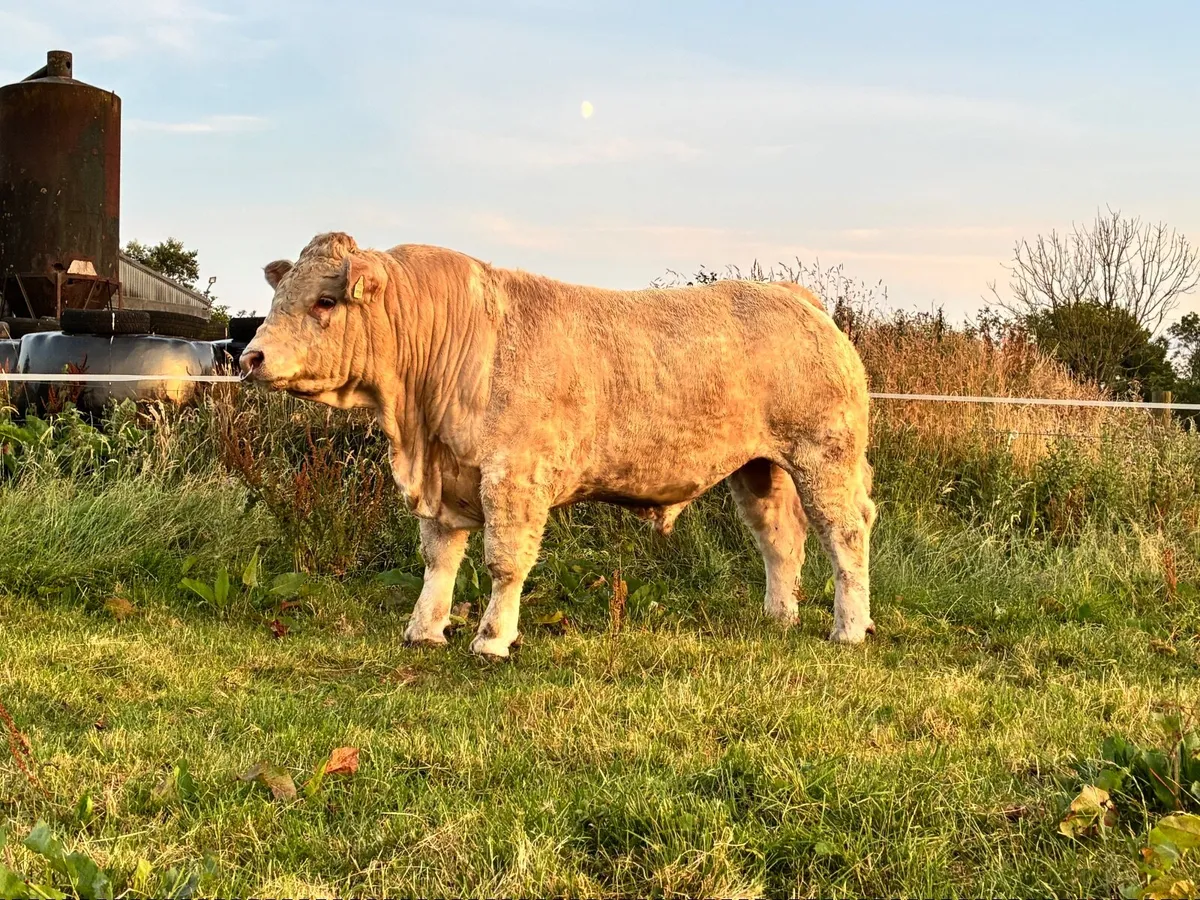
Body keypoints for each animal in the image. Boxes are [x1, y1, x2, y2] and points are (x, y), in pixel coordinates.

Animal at [240, 232, 877, 658]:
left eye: (324, 301)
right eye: (278, 298)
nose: (250, 357)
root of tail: (794, 295)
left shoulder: (514, 475)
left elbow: (505, 560)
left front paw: (492, 638)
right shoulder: (448, 479)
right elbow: (439, 558)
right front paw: (424, 629)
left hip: (825, 453)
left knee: (846, 532)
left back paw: (849, 627)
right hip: (760, 467)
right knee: (780, 540)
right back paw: (779, 618)